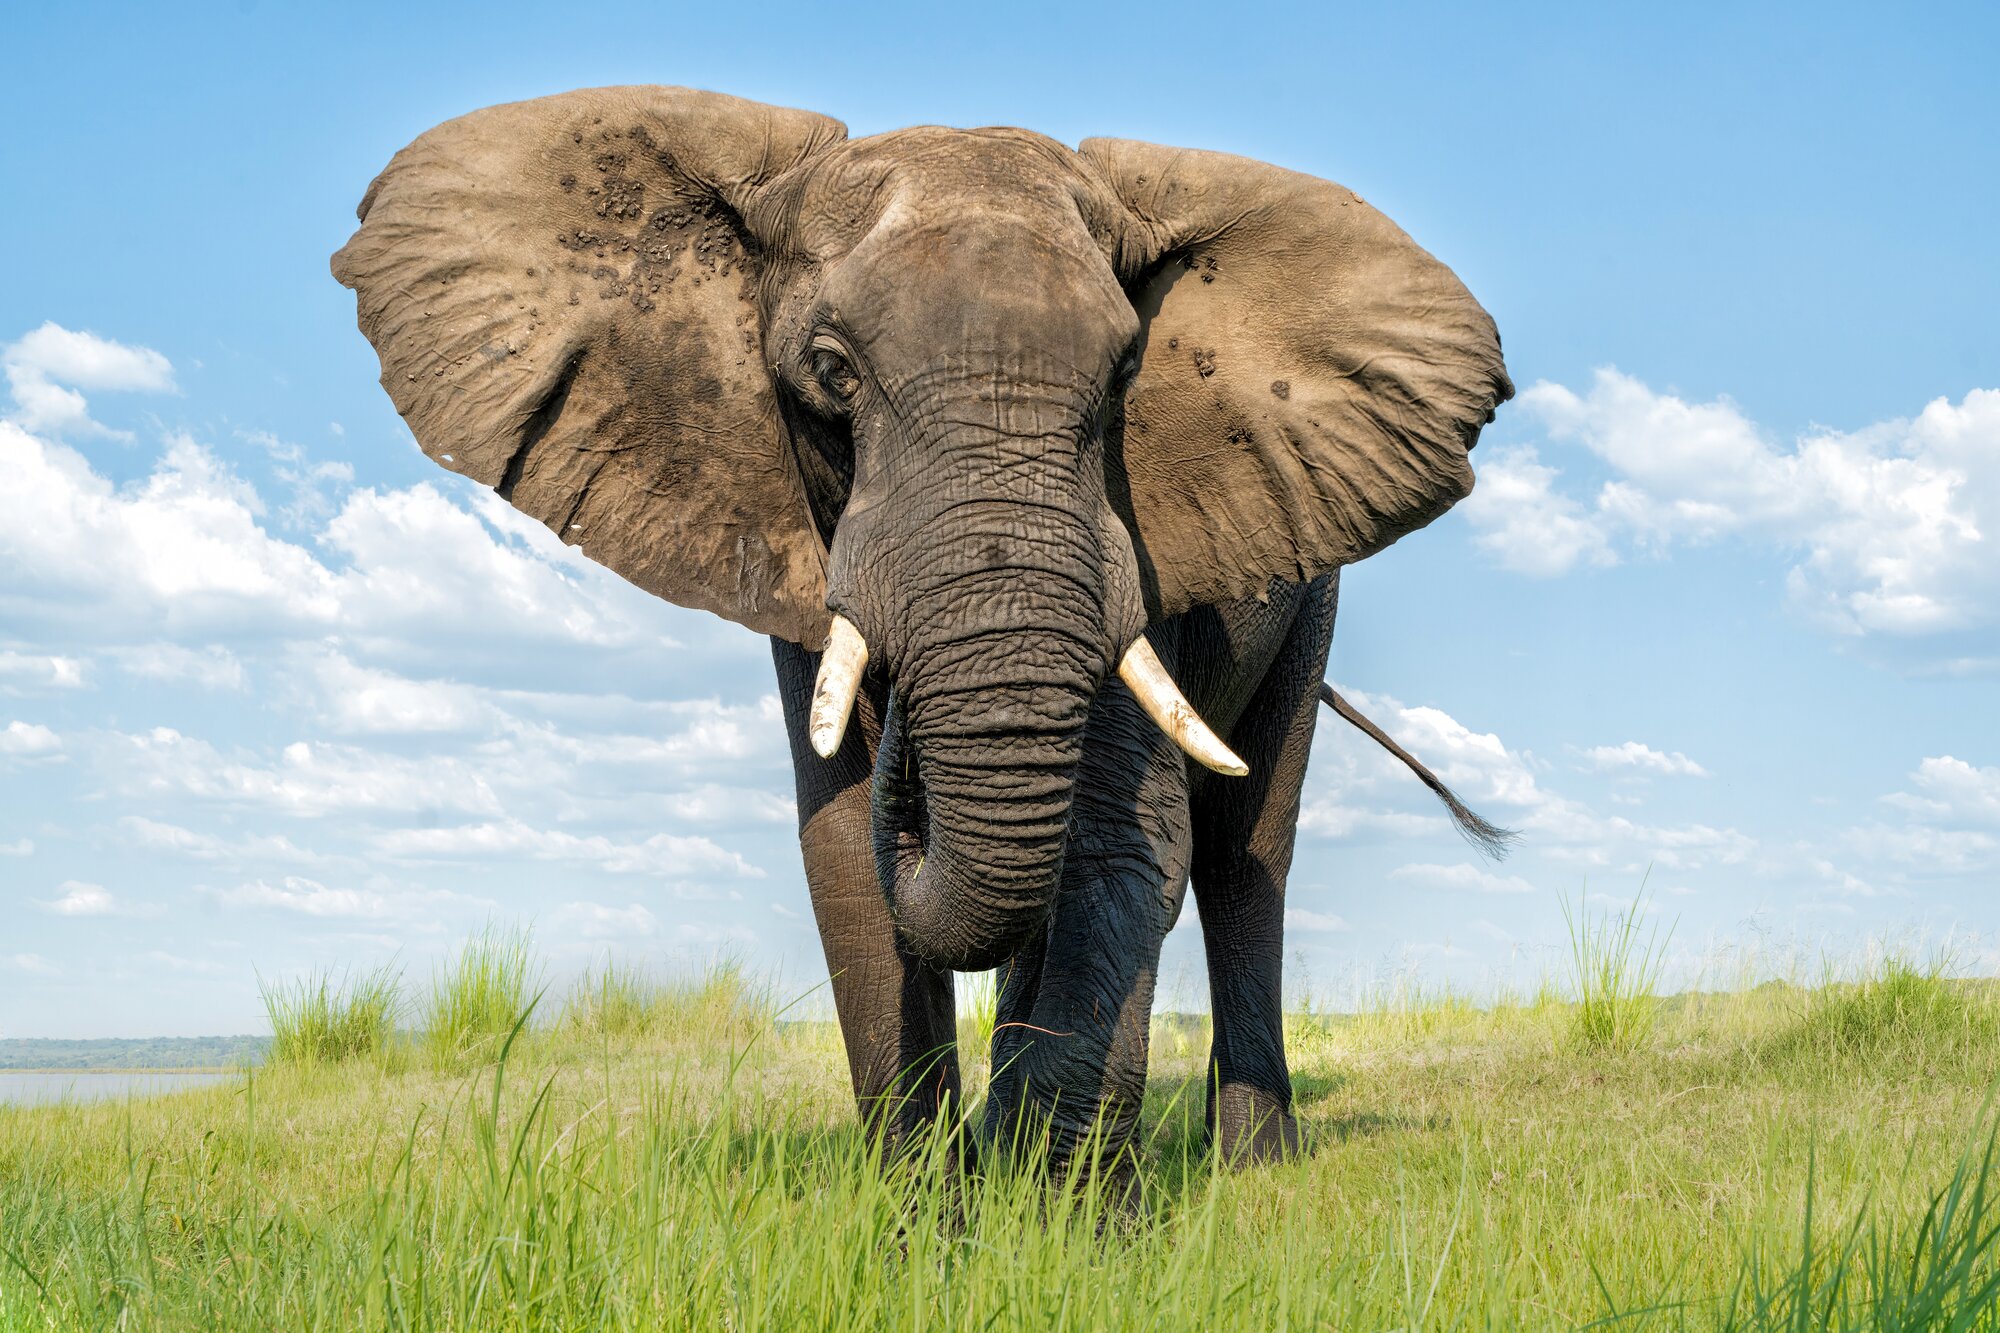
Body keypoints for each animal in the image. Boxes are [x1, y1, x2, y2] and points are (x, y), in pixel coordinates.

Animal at [331, 86, 1512, 1173]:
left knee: (1242, 855)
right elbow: (846, 856)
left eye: (1126, 374)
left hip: (1311, 593)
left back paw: (1252, 1166)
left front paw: (1057, 1228)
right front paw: (928, 1229)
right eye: (831, 371)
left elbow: (1123, 839)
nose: (903, 722)